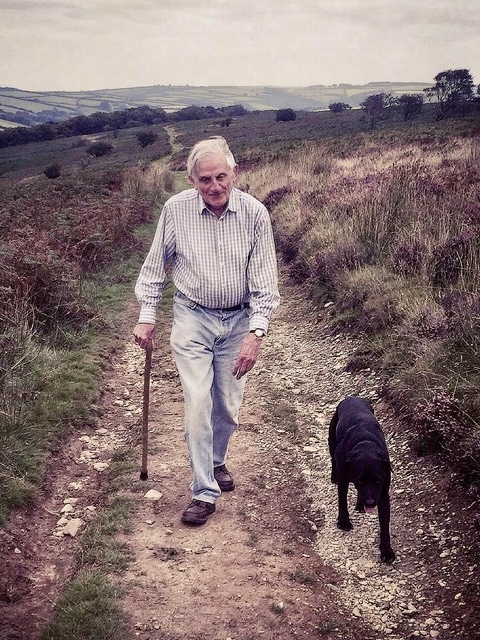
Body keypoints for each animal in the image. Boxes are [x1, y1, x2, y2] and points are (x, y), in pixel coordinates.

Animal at [328, 398, 396, 564]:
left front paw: (386, 551)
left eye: (378, 481)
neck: (366, 445)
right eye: (360, 480)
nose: (370, 503)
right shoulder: (345, 481)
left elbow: (385, 525)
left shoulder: (383, 495)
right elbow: (342, 501)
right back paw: (334, 476)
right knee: (333, 459)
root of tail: (352, 397)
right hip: (331, 442)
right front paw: (344, 522)